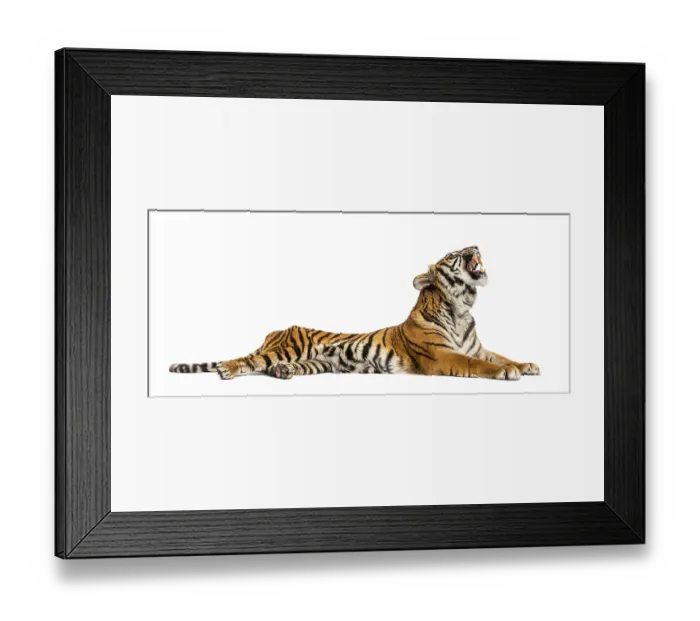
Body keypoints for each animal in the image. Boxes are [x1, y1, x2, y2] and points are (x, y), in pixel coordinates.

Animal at [169, 246, 540, 381]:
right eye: (453, 255)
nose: (474, 247)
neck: (461, 307)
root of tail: (275, 331)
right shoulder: (442, 356)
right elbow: (476, 365)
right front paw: (507, 373)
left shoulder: (478, 347)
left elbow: (501, 355)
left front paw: (526, 365)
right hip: (286, 347)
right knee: (249, 360)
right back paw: (228, 370)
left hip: (316, 362)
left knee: (273, 366)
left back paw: (283, 373)